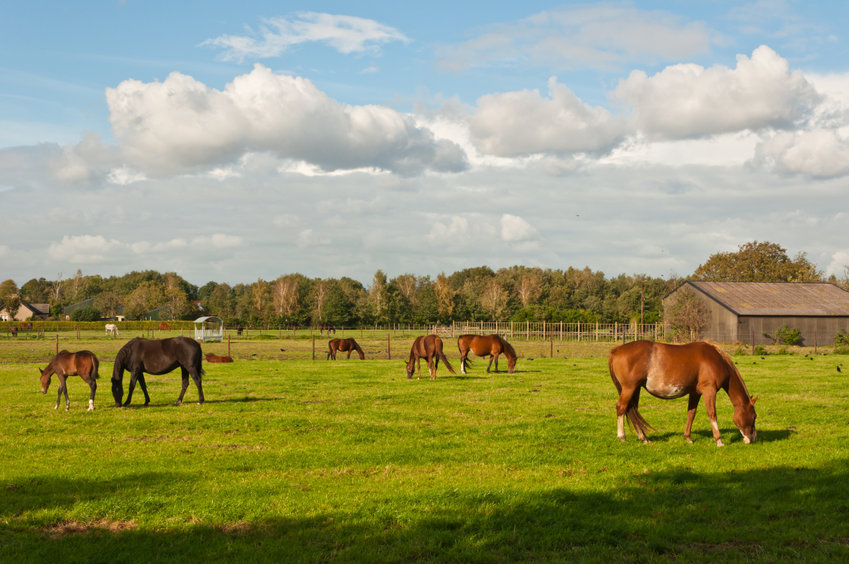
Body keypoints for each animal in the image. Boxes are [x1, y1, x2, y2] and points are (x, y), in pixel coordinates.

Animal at [608, 342, 760, 448]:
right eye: (754, 416)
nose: (753, 438)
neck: (716, 359)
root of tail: (616, 351)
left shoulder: (695, 393)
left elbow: (691, 414)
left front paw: (688, 438)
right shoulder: (709, 390)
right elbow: (712, 414)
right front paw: (719, 440)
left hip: (635, 389)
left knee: (631, 410)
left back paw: (643, 438)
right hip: (629, 388)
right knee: (621, 408)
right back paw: (622, 436)